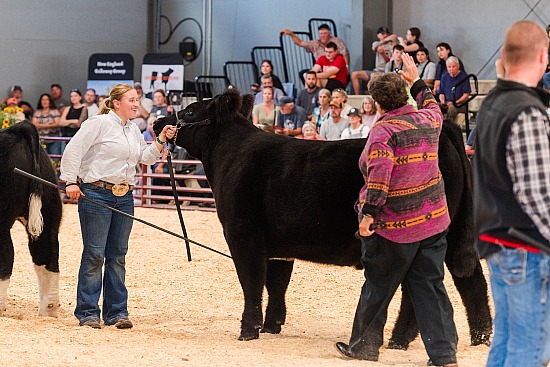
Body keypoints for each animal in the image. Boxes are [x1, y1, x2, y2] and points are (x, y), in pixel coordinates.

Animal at [153, 90, 494, 348]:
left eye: (191, 110)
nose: (158, 121)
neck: (229, 156)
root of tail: (445, 131)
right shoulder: (279, 245)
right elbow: (277, 284)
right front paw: (271, 326)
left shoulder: (242, 235)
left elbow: (251, 283)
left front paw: (248, 330)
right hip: (454, 231)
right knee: (471, 280)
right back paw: (480, 337)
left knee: (421, 289)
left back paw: (400, 339)